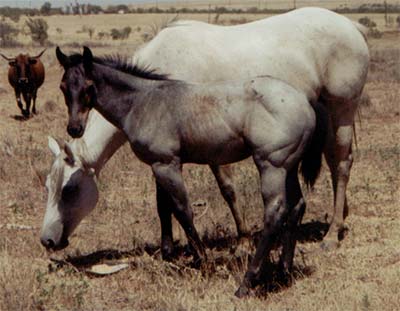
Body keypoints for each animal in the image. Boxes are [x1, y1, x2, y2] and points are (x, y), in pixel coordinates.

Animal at [40, 6, 368, 251]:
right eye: (48, 186)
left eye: (70, 189)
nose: (48, 240)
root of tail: (352, 25)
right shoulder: (165, 154)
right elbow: (164, 202)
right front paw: (168, 249)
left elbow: (226, 189)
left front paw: (241, 238)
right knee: (333, 160)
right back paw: (341, 216)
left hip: (342, 110)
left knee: (342, 163)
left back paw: (332, 234)